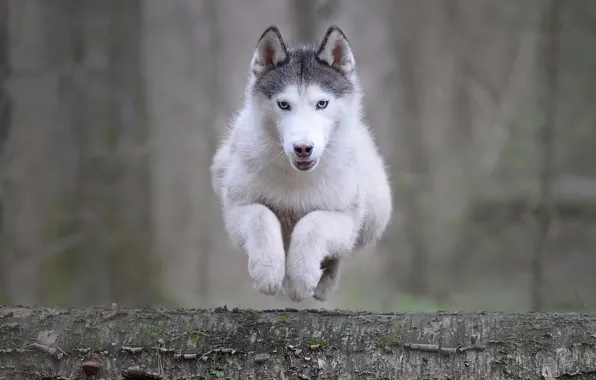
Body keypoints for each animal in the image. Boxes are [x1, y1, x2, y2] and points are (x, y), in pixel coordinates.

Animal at [212, 25, 394, 302]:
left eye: (322, 103)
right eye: (283, 104)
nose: (303, 148)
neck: (295, 178)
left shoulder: (346, 218)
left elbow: (312, 224)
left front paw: (299, 279)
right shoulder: (237, 209)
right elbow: (261, 216)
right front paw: (268, 271)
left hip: (374, 214)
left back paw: (324, 283)